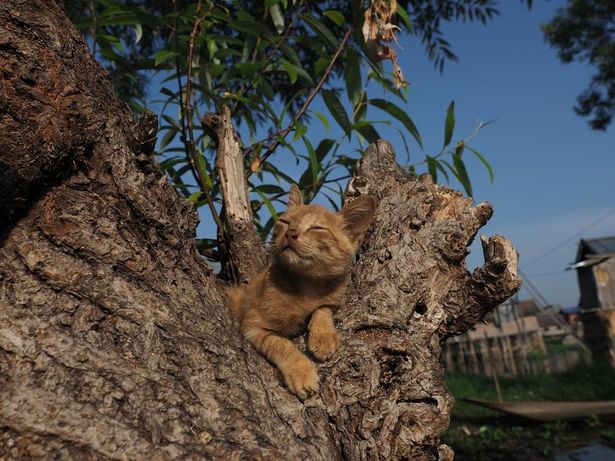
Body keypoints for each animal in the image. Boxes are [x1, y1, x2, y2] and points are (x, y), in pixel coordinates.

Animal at [229, 183, 376, 398]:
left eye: (317, 228)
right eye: (284, 221)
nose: (290, 233)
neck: (305, 287)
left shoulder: (333, 300)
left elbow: (322, 309)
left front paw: (323, 337)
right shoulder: (252, 326)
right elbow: (282, 344)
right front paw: (301, 372)